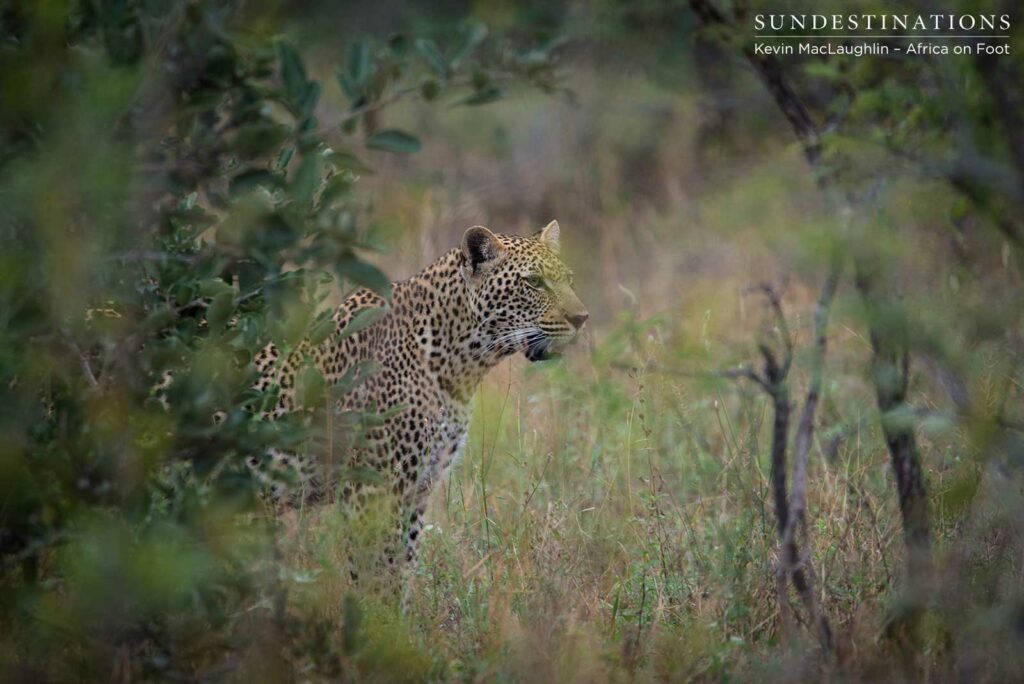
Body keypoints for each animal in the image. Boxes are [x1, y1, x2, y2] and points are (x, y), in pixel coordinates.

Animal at [249, 220, 587, 578]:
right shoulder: (373, 489)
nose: (582, 318)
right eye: (534, 282)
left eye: (569, 280)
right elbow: (378, 574)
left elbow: (403, 564)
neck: (460, 363)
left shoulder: (417, 489)